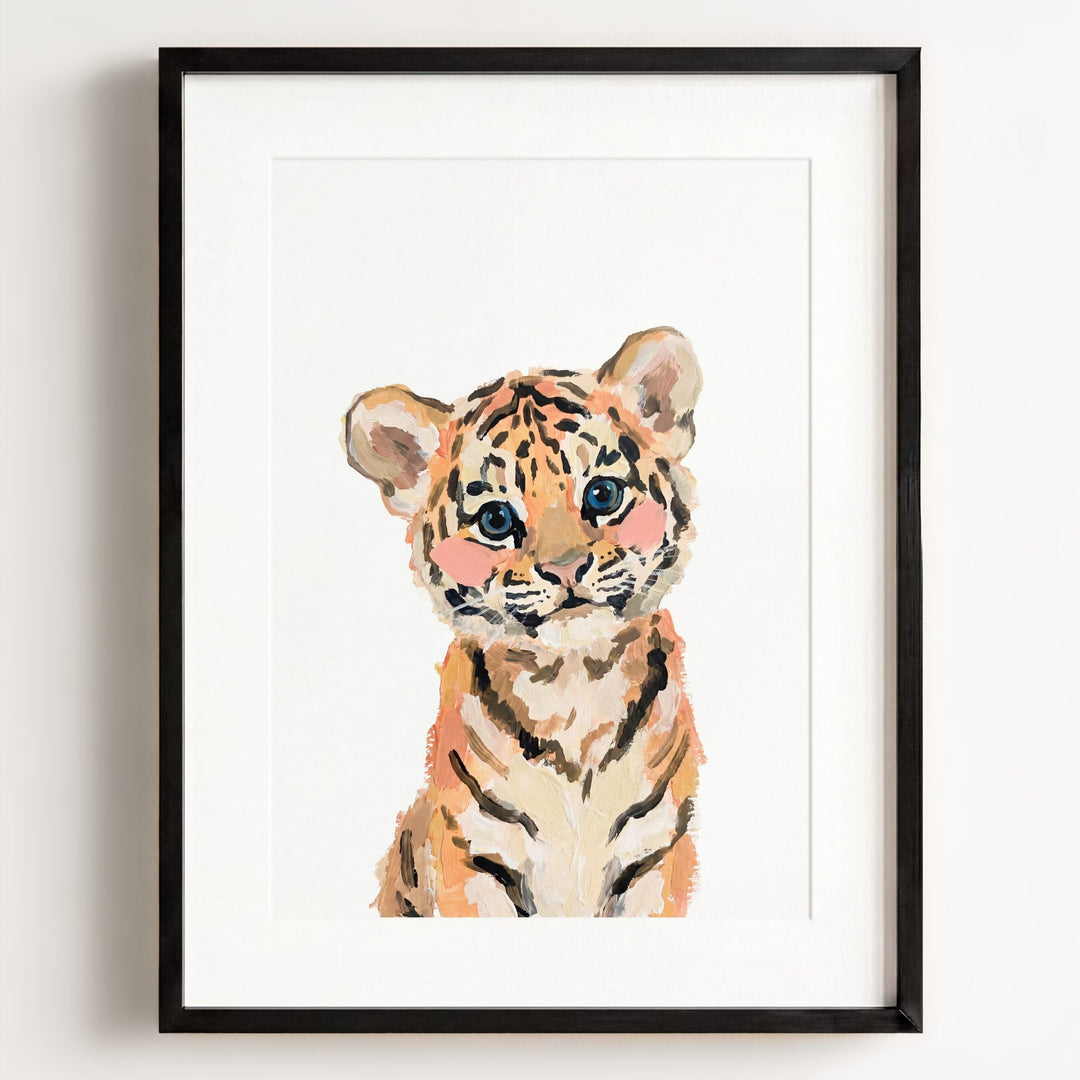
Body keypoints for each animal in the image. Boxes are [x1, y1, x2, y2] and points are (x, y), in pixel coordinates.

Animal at [341, 327, 705, 917]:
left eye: (602, 494)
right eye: (496, 519)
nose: (566, 568)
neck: (574, 693)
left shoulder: (656, 854)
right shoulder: (471, 857)